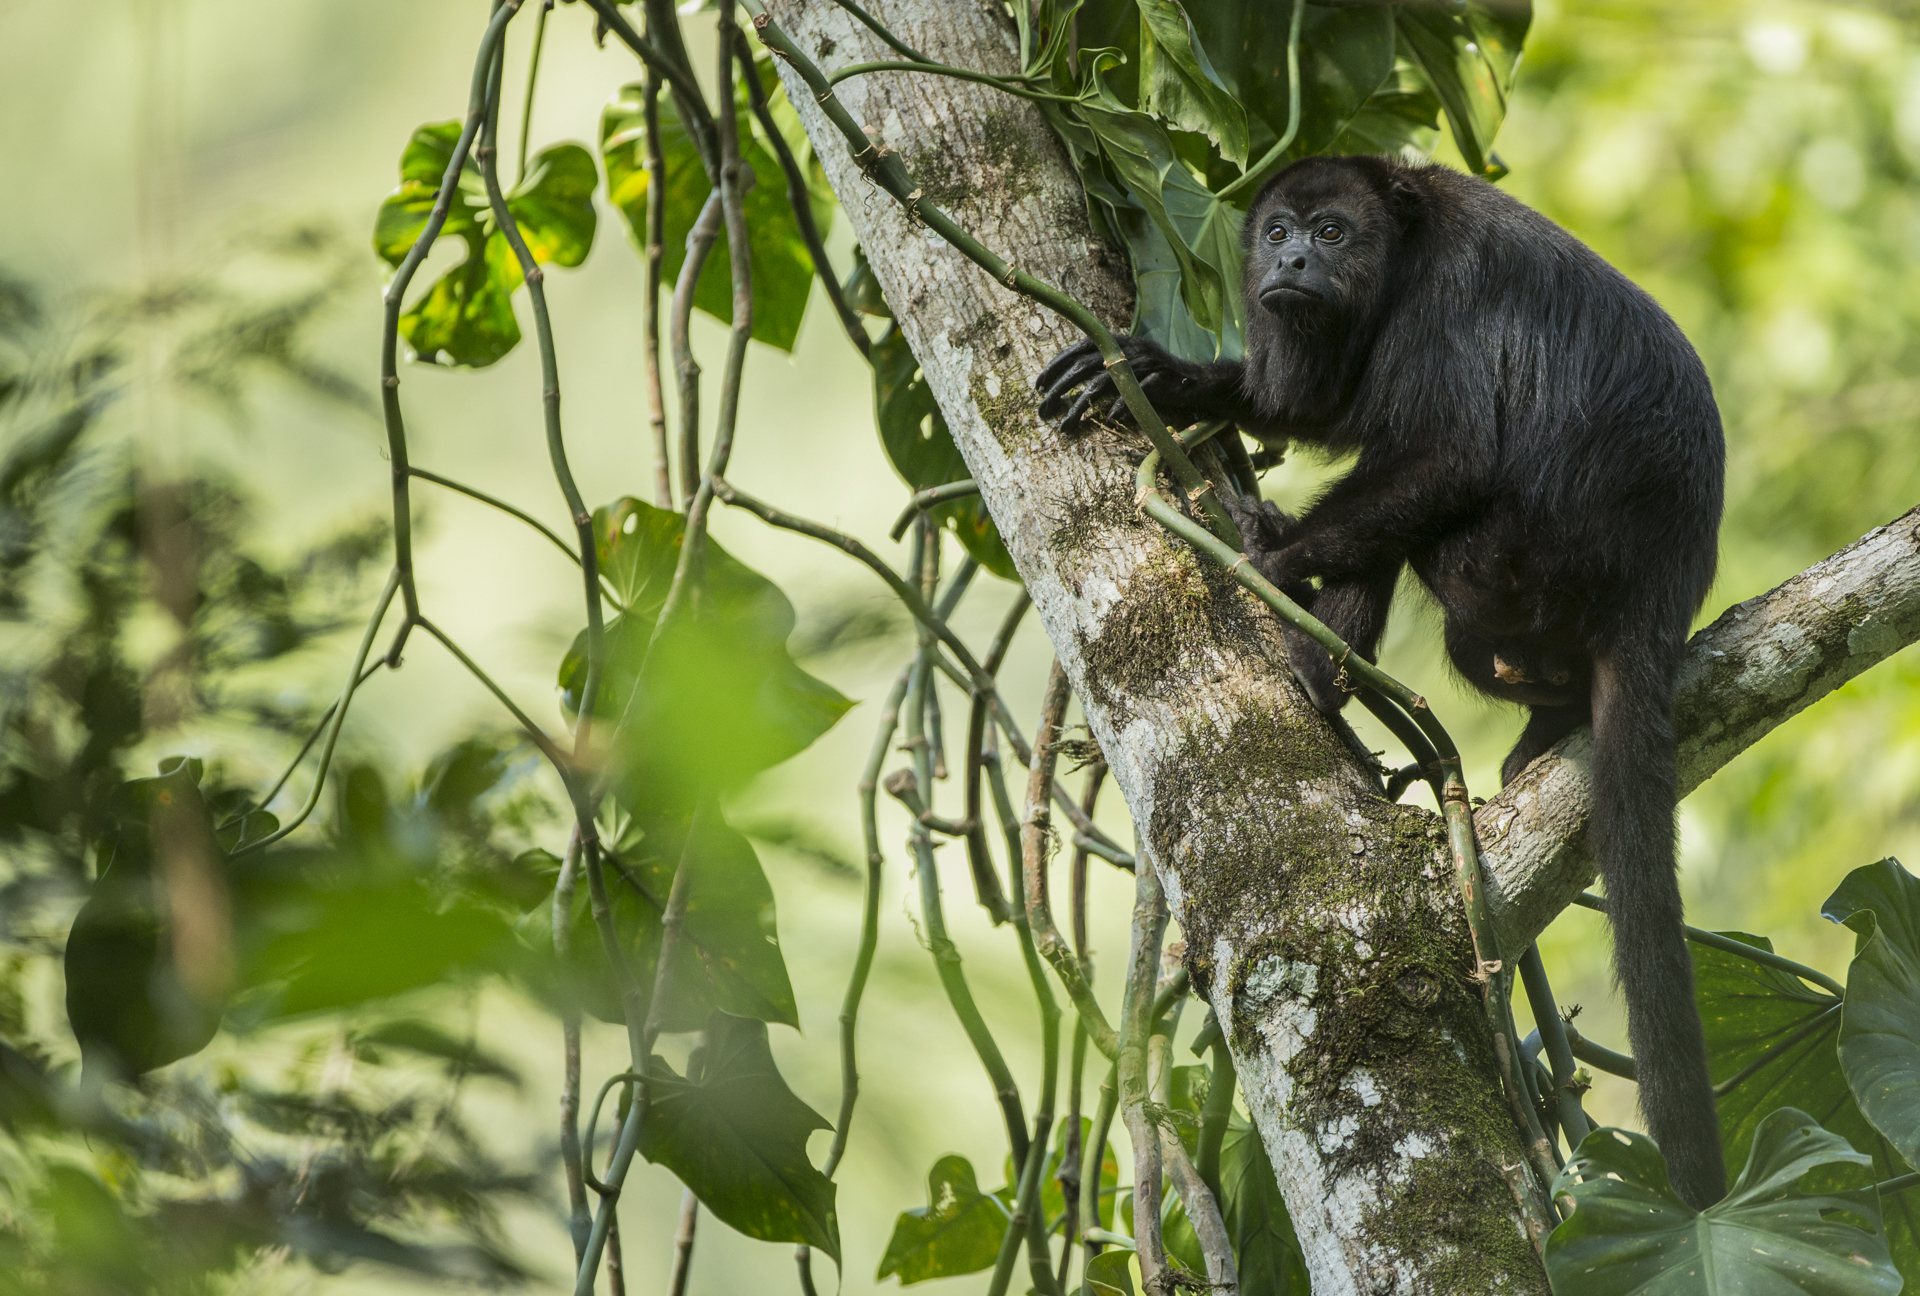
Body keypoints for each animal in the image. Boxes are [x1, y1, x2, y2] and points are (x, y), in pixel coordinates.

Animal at [1044, 157, 1735, 1213]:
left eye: (1332, 231)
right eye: (1278, 230)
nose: (1289, 261)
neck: (1403, 249)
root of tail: (1658, 597)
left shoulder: (1451, 299)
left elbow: (1445, 454)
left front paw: (1273, 554)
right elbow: (1318, 404)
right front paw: (1165, 372)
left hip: (1518, 566)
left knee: (1428, 526)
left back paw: (1314, 659)